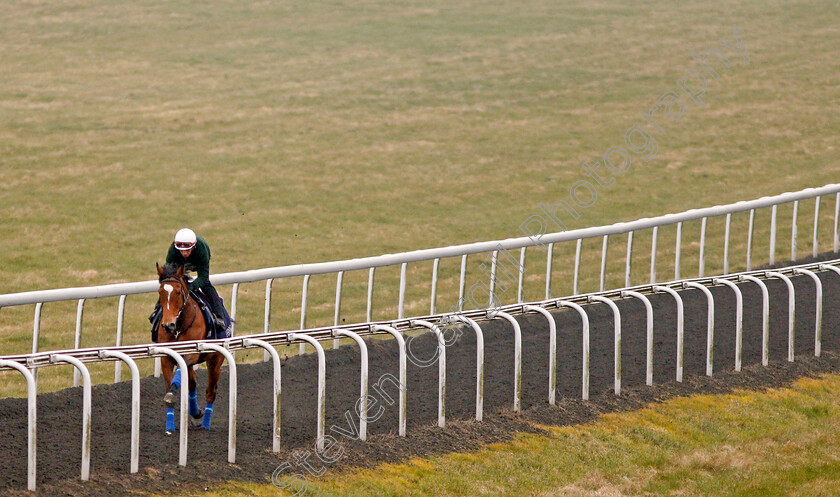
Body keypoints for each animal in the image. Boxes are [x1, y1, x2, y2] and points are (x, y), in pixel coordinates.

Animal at [155, 262, 225, 432]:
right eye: (160, 292)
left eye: (179, 292)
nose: (168, 325)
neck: (179, 328)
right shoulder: (166, 358)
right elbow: (171, 385)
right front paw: (170, 426)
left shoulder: (192, 353)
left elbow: (181, 371)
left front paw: (172, 394)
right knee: (192, 384)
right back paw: (195, 412)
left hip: (216, 360)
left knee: (211, 391)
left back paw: (205, 424)